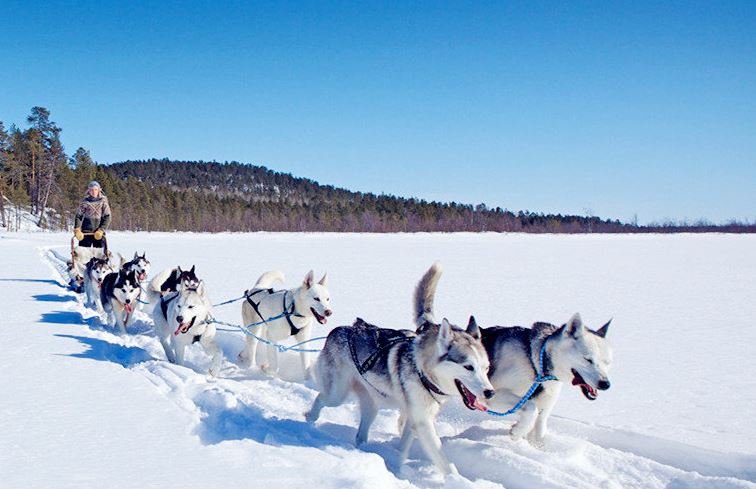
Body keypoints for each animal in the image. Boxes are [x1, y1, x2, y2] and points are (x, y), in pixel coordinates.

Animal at [304, 264, 494, 474]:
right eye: (468, 367)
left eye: (486, 368)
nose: (490, 392)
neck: (422, 371)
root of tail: (339, 329)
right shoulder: (423, 422)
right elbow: (444, 461)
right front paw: (456, 478)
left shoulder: (413, 418)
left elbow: (404, 445)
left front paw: (397, 461)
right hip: (337, 395)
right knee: (321, 398)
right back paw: (310, 419)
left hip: (371, 405)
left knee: (361, 434)